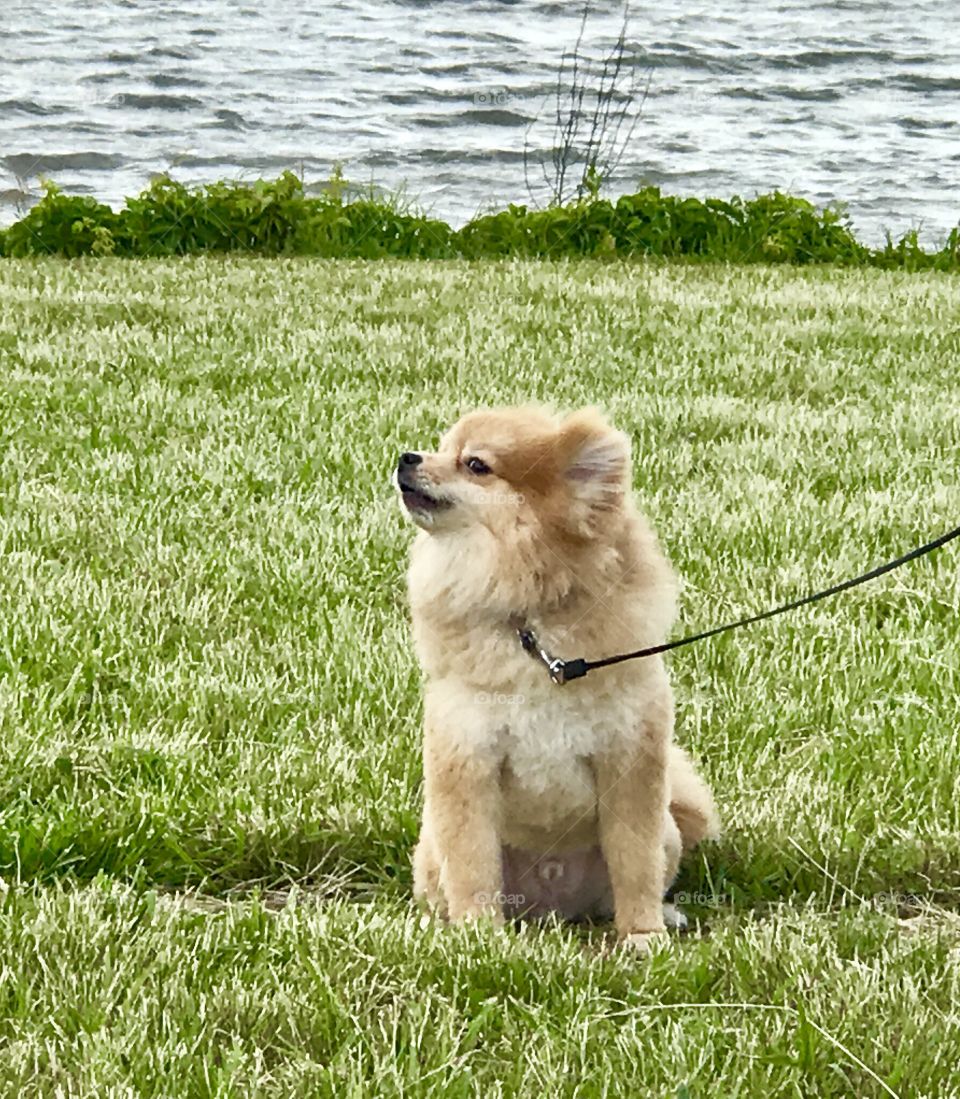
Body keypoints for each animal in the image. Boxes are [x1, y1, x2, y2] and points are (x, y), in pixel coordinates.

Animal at [393, 408, 716, 949]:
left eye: (475, 464)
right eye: (441, 448)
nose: (407, 457)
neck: (531, 621)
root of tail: (551, 908)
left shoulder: (630, 761)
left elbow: (636, 860)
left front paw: (642, 933)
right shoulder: (468, 759)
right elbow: (473, 864)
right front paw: (478, 936)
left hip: (667, 831)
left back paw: (663, 915)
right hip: (432, 849)